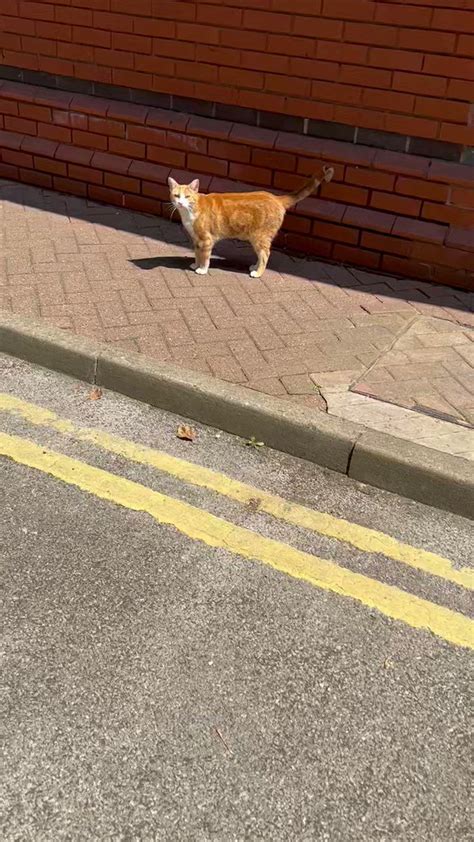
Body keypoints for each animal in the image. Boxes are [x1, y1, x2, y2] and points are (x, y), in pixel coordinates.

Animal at [168, 164, 336, 278]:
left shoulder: (206, 239)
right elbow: (197, 254)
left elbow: (205, 256)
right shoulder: (197, 240)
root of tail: (276, 198)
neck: (189, 211)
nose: (180, 203)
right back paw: (254, 267)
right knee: (261, 255)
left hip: (259, 237)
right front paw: (196, 264)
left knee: (265, 254)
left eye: (187, 196)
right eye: (176, 196)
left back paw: (258, 272)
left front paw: (202, 269)